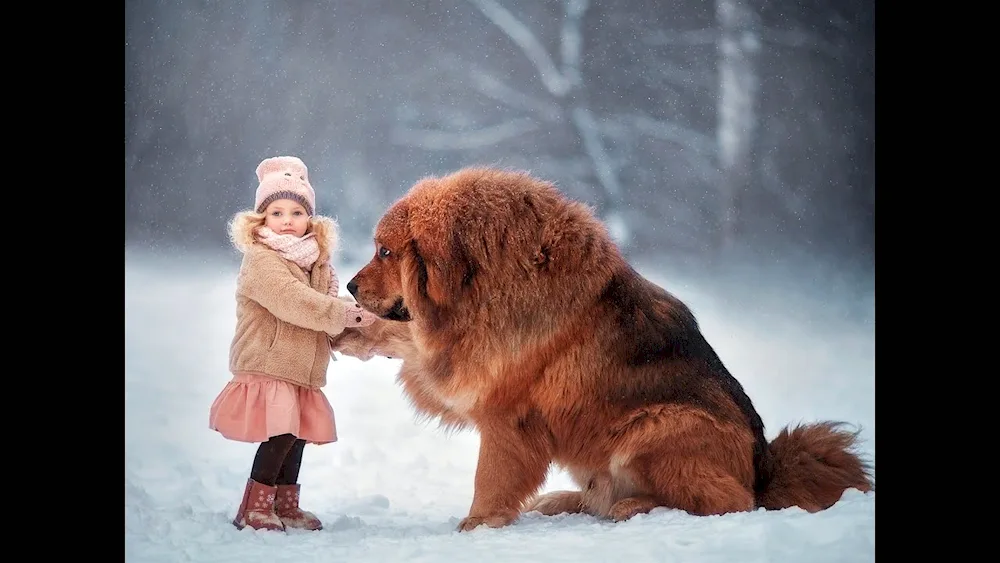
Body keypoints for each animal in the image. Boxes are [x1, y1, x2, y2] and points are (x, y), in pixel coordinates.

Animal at [332, 166, 872, 532]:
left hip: (656, 426)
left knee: (728, 501)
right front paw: (350, 329)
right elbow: (405, 336)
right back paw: (563, 501)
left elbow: (491, 478)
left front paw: (478, 525)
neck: (484, 283)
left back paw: (634, 507)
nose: (352, 285)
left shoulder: (504, 409)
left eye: (385, 251)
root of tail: (765, 469)